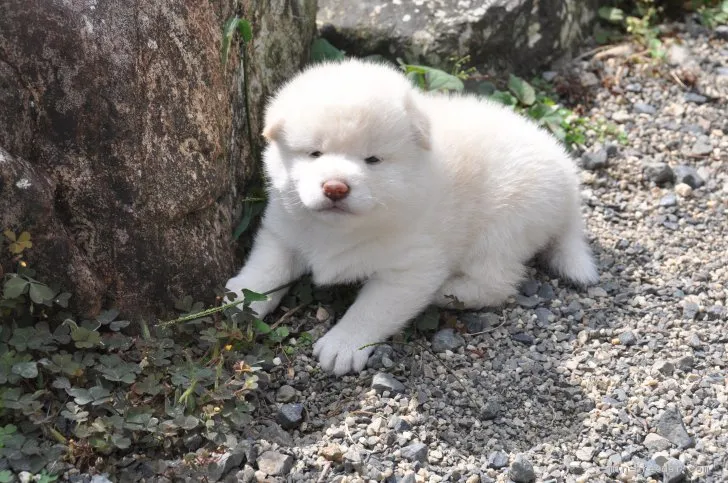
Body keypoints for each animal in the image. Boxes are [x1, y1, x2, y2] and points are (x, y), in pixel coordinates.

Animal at [226, 60, 596, 376]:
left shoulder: (409, 270)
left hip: (503, 227)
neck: (340, 231)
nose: (335, 187)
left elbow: (371, 309)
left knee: (497, 282)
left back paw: (448, 292)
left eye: (373, 159)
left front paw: (343, 343)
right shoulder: (282, 231)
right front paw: (241, 296)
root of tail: (568, 178)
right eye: (314, 153)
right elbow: (267, 269)